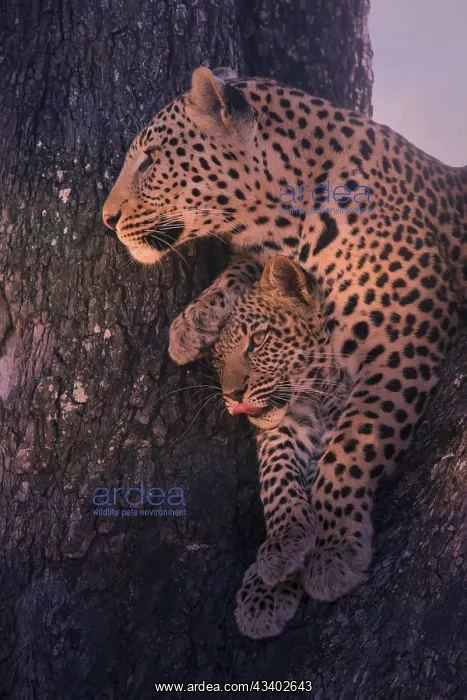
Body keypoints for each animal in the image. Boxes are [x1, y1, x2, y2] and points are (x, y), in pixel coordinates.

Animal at [210, 254, 352, 638]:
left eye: (258, 340)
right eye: (217, 359)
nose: (233, 396)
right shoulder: (286, 426)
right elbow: (277, 477)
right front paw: (272, 571)